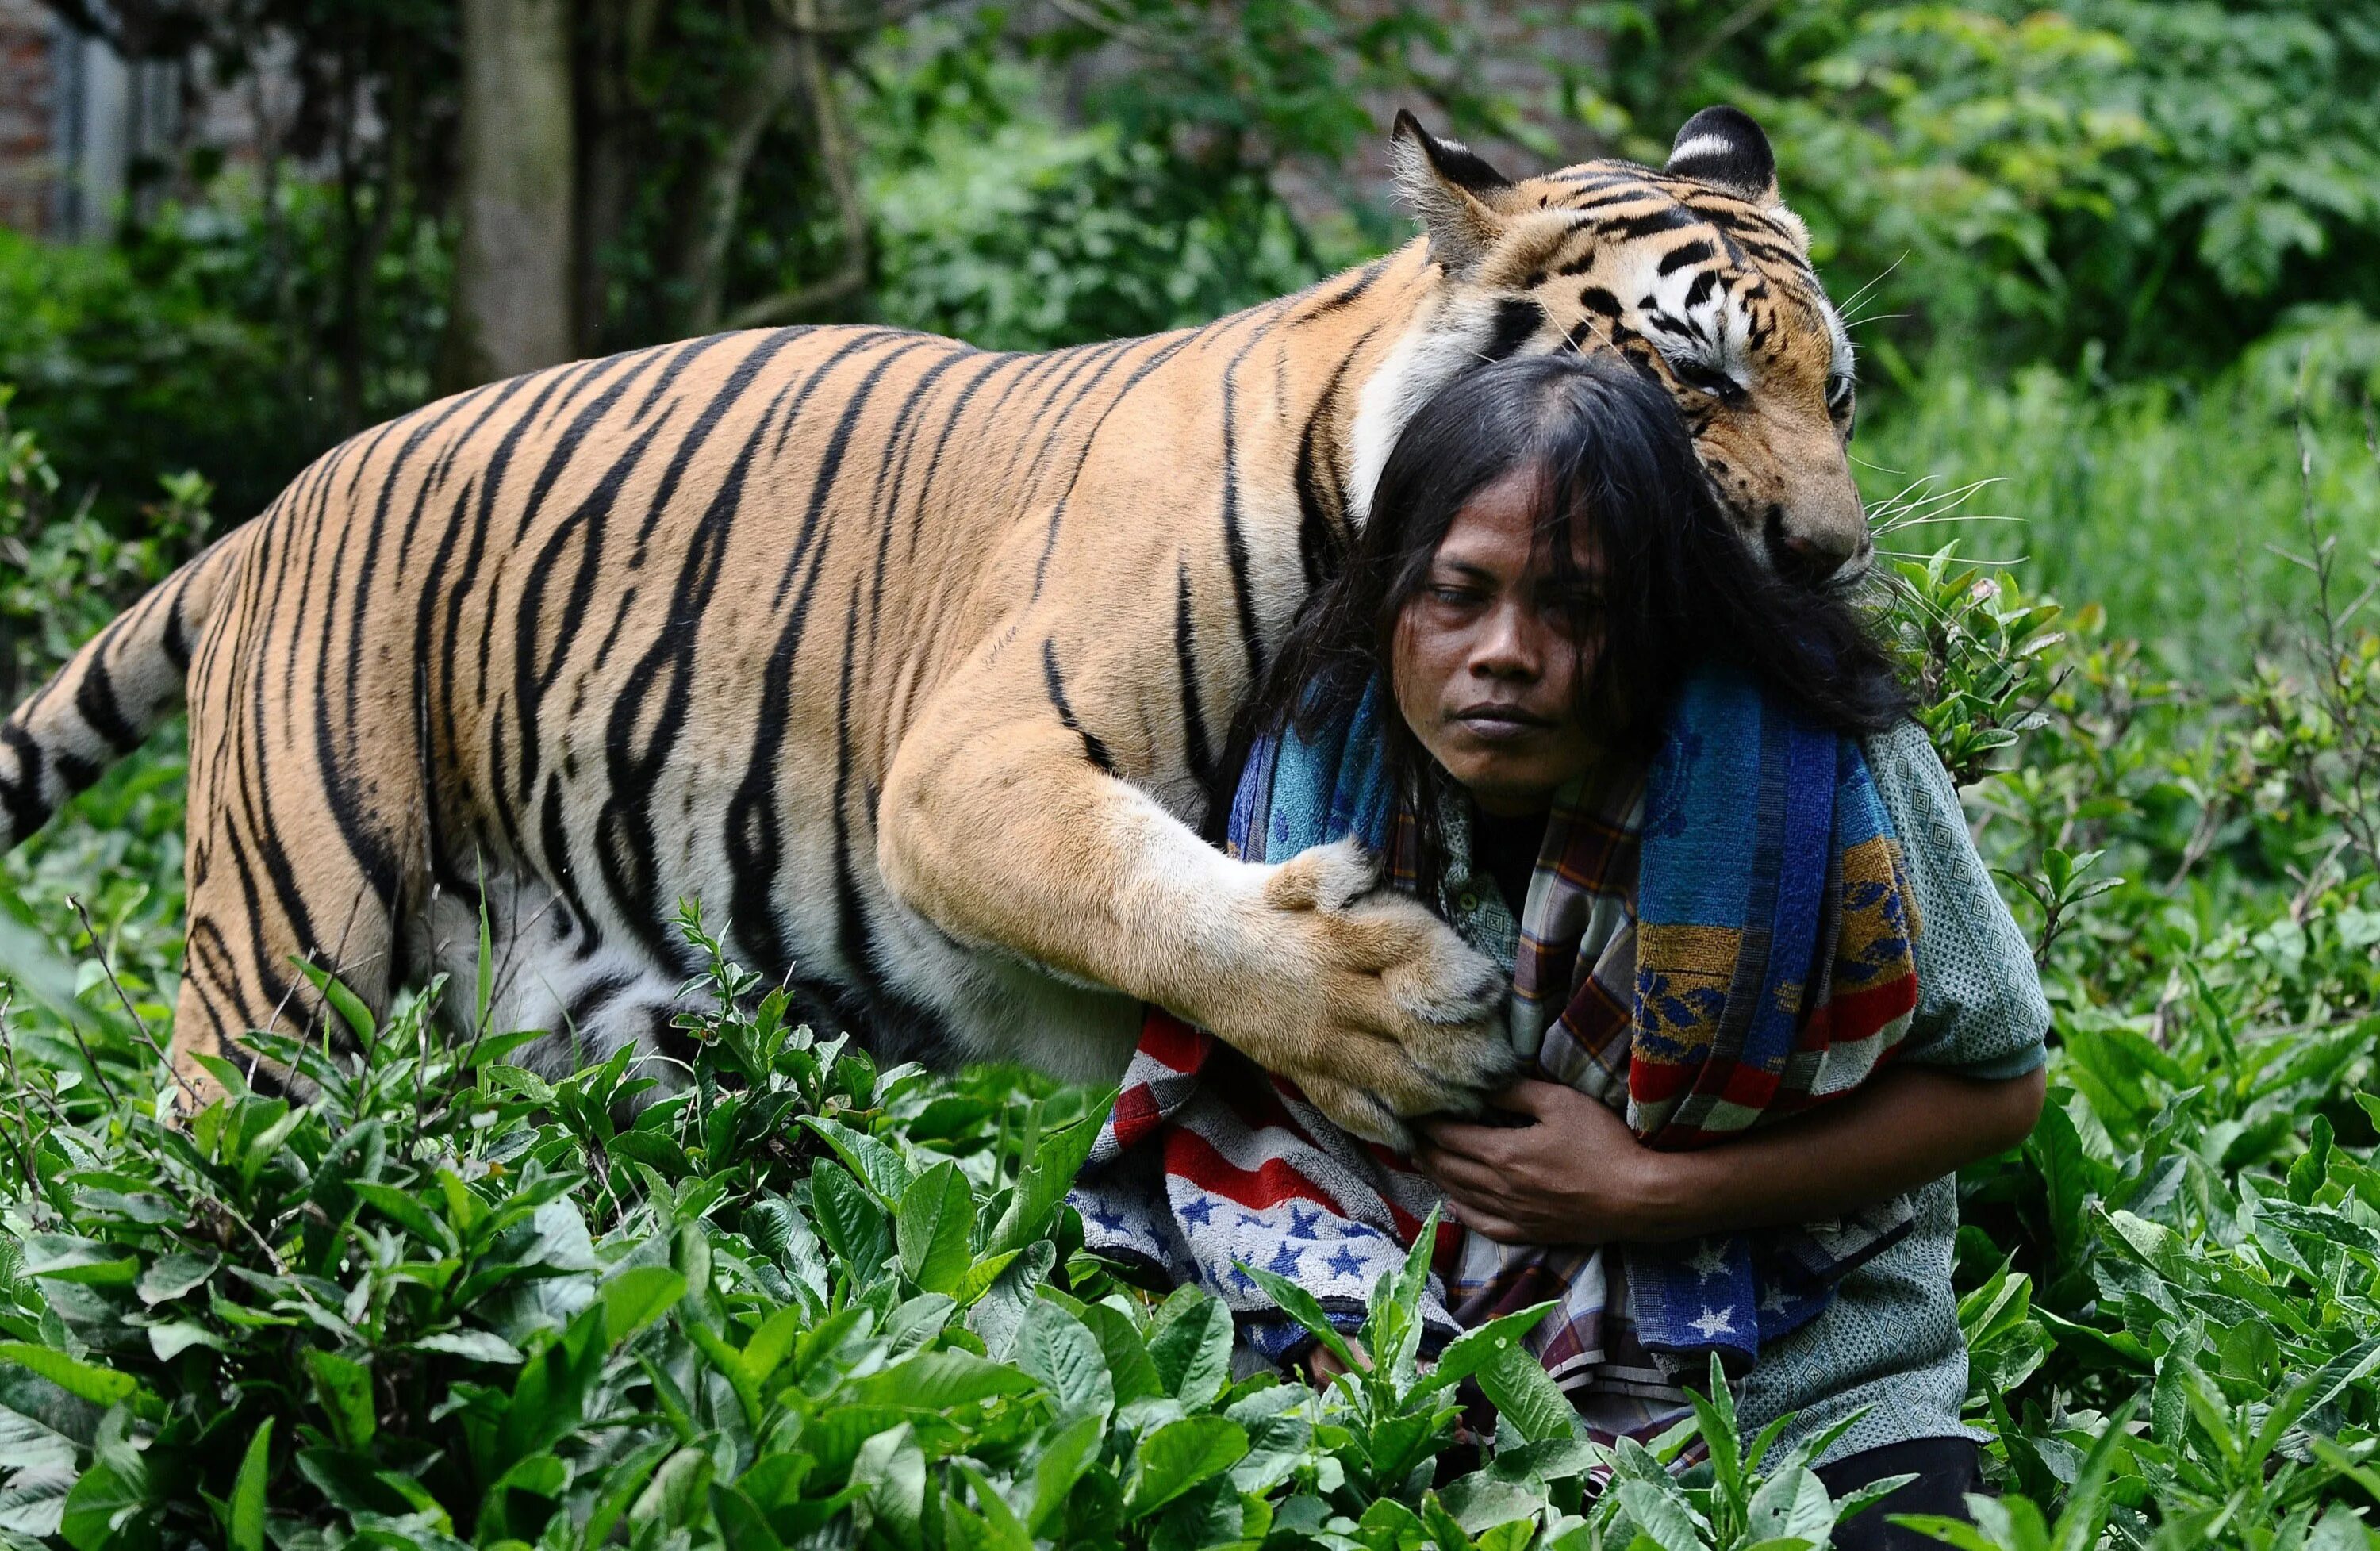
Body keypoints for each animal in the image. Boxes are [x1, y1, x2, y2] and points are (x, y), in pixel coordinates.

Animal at [0, 109, 1856, 1146]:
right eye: (1693, 374)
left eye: (1838, 392)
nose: (1833, 556)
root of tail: (278, 506)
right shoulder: (969, 767)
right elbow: (1149, 893)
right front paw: (1383, 1016)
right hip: (286, 973)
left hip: (599, 1041)